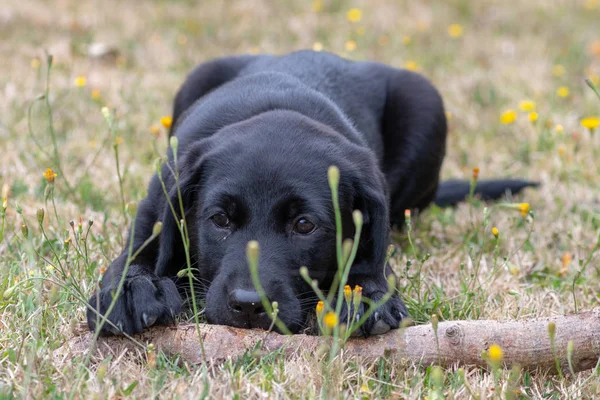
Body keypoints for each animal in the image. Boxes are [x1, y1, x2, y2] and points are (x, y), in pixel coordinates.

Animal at [85, 50, 536, 338]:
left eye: (304, 225)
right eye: (220, 220)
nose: (249, 305)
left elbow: (370, 261)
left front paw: (361, 296)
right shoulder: (155, 205)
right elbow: (132, 257)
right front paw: (130, 291)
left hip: (425, 102)